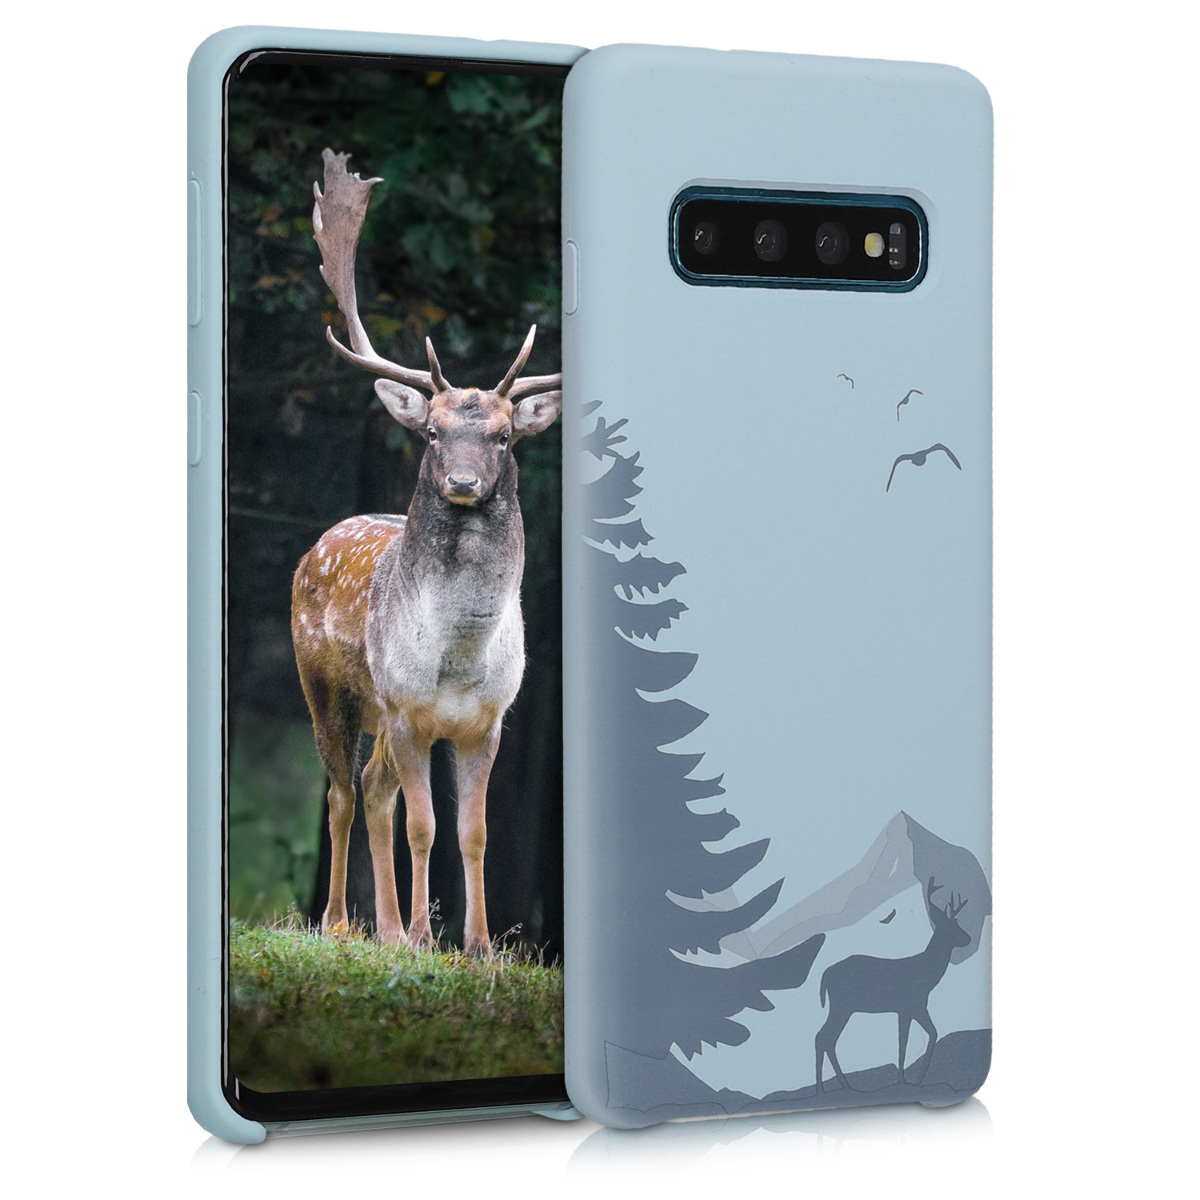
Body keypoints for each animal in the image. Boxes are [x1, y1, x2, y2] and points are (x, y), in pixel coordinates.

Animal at [291, 149, 562, 955]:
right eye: (434, 431)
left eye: (503, 435)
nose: (465, 482)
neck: (459, 657)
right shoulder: (410, 710)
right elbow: (423, 826)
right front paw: (421, 935)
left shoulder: (488, 721)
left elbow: (472, 832)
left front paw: (478, 946)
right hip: (331, 690)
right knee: (344, 792)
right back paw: (344, 924)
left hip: (378, 717)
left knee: (373, 787)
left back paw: (383, 928)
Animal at [814, 878, 970, 1091]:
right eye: (950, 927)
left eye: (958, 922)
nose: (968, 938)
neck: (927, 976)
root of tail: (825, 974)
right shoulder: (912, 1005)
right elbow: (913, 1039)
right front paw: (913, 1080)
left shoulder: (908, 1009)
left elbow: (912, 1039)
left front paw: (908, 1080)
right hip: (841, 1005)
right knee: (823, 1037)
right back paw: (827, 1088)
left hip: (843, 1007)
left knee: (826, 1038)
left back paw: (841, 1086)